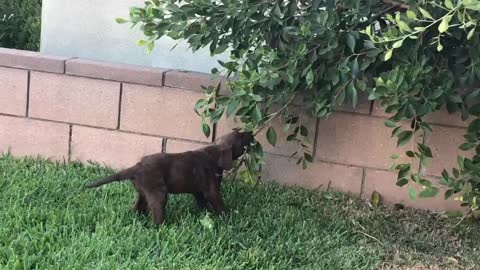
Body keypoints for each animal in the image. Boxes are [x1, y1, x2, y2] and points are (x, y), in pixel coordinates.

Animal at [84, 130, 253, 225]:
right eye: (241, 136)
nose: (251, 132)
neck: (215, 152)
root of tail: (137, 166)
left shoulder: (198, 190)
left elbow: (202, 202)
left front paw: (206, 213)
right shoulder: (211, 189)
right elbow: (218, 203)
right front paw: (226, 216)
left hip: (143, 191)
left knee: (138, 205)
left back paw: (137, 217)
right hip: (158, 192)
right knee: (156, 211)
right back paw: (161, 226)